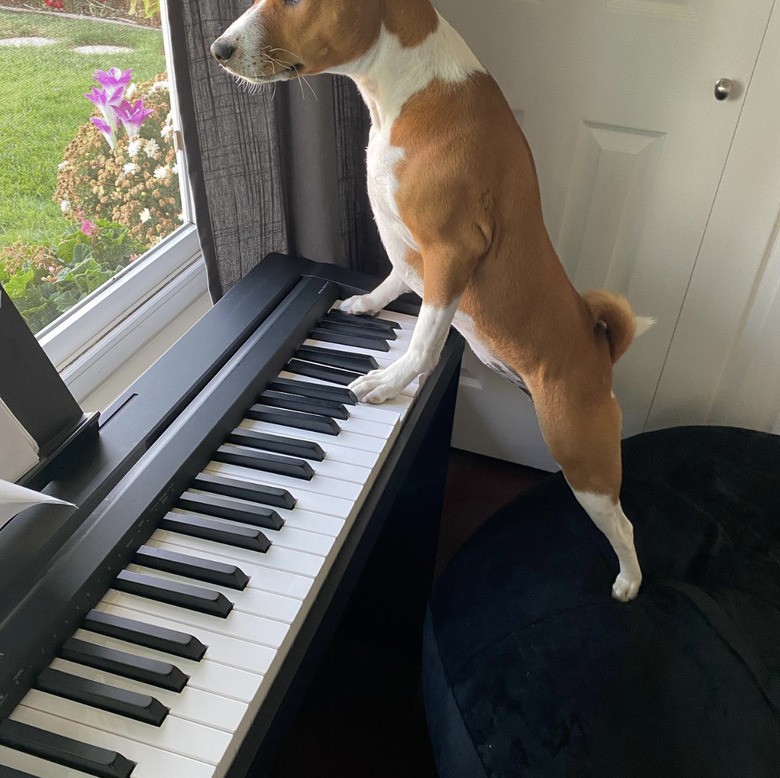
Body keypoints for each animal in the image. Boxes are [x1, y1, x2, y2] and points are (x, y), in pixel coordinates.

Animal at [209, 0, 652, 600]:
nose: (219, 49)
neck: (400, 93)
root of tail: (600, 349)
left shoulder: (452, 250)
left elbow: (425, 339)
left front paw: (389, 380)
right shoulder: (408, 245)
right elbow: (396, 279)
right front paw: (367, 305)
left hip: (582, 454)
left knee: (622, 524)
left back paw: (629, 581)